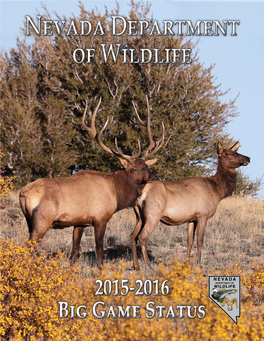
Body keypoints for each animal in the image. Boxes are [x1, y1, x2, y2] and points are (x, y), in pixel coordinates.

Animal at [20, 97, 165, 266]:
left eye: (146, 166)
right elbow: (99, 249)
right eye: (134, 169)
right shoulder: (100, 218)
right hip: (42, 221)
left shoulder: (80, 222)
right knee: (28, 248)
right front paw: (101, 269)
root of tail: (23, 193)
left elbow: (75, 249)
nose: (151, 176)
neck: (116, 195)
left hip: (29, 222)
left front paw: (71, 269)